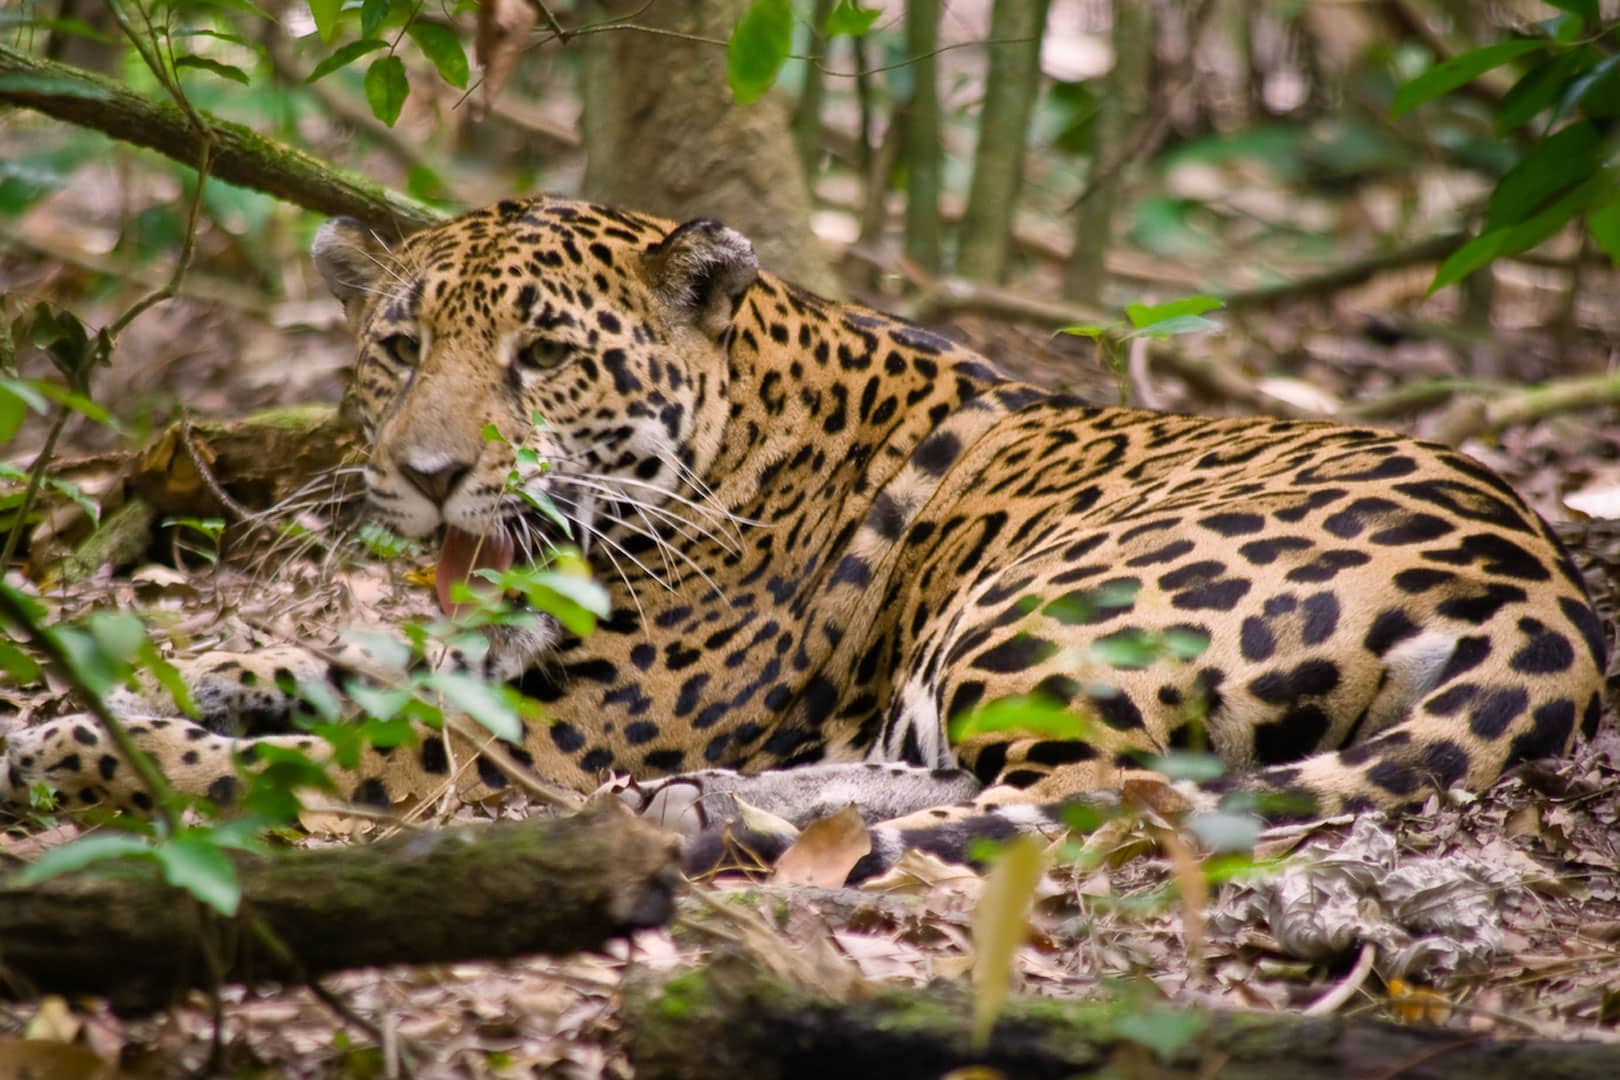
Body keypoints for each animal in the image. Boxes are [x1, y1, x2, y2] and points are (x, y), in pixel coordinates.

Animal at [2, 196, 1607, 879]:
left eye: (542, 357)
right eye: (398, 349)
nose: (430, 474)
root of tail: (1546, 594)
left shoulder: (516, 744)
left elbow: (284, 756)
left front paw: (80, 748)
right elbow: (311, 673)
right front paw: (106, 695)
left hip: (1041, 601)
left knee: (1099, 794)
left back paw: (726, 818)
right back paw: (718, 807)